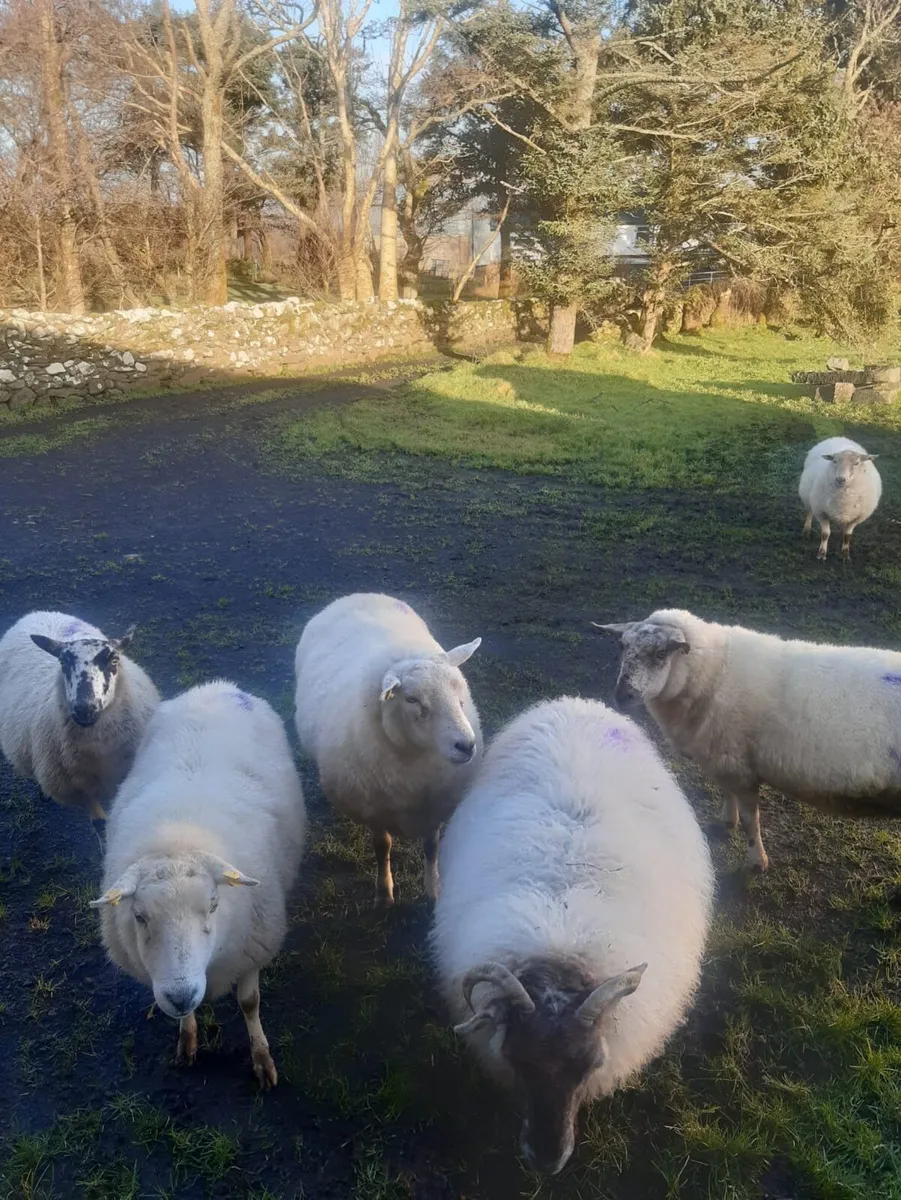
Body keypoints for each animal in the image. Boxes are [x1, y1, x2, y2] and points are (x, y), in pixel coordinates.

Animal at [0, 611, 160, 822]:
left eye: (114, 660)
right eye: (63, 662)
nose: (85, 708)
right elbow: (100, 823)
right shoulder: (79, 792)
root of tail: (39, 613)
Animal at [91, 680, 306, 1087]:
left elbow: (249, 1003)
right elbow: (186, 1019)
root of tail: (217, 686)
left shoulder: (253, 944)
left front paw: (261, 1057)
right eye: (139, 917)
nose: (180, 994)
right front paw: (188, 1036)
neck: (180, 837)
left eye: (213, 905)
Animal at [294, 593, 482, 906]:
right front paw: (384, 893)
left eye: (459, 689)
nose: (466, 745)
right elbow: (382, 847)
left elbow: (432, 847)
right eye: (412, 699)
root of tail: (357, 594)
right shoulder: (374, 809)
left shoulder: (434, 803)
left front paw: (434, 890)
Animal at [596, 608, 901, 872]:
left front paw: (757, 862)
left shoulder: (739, 767)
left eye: (661, 654)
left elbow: (750, 821)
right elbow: (725, 793)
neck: (715, 672)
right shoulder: (722, 758)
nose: (622, 696)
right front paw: (726, 820)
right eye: (622, 647)